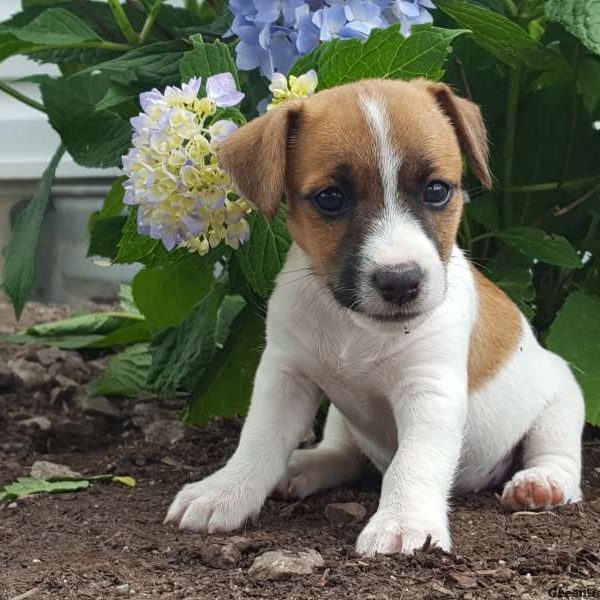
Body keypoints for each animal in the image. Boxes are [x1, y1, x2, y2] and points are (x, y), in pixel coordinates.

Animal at [163, 77, 580, 556]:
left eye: (436, 190)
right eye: (330, 199)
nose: (400, 281)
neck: (354, 328)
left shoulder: (429, 392)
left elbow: (413, 462)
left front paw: (404, 521)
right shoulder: (285, 377)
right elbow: (259, 439)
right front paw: (225, 491)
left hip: (561, 402)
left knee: (559, 456)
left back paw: (541, 483)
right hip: (343, 419)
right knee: (343, 454)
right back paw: (303, 465)